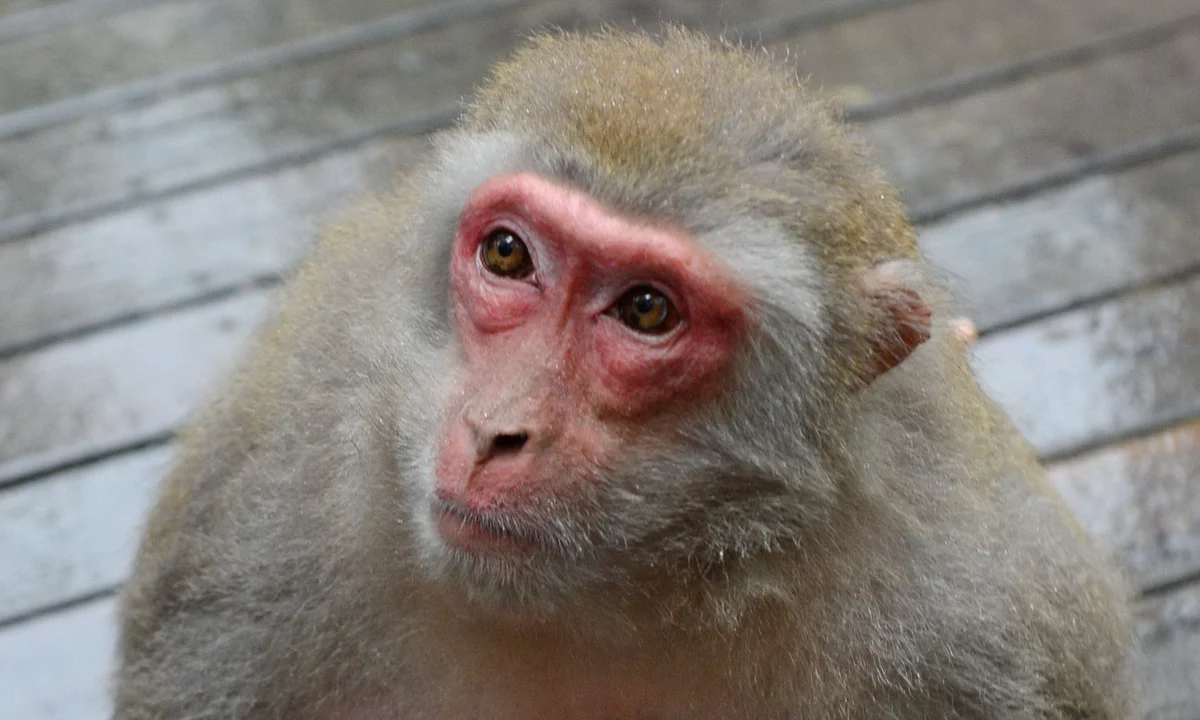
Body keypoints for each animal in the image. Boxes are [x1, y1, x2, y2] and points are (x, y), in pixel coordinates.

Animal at [113, 28, 1135, 720]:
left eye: (647, 310)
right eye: (508, 254)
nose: (494, 431)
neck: (616, 597)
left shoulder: (981, 633)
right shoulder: (254, 508)